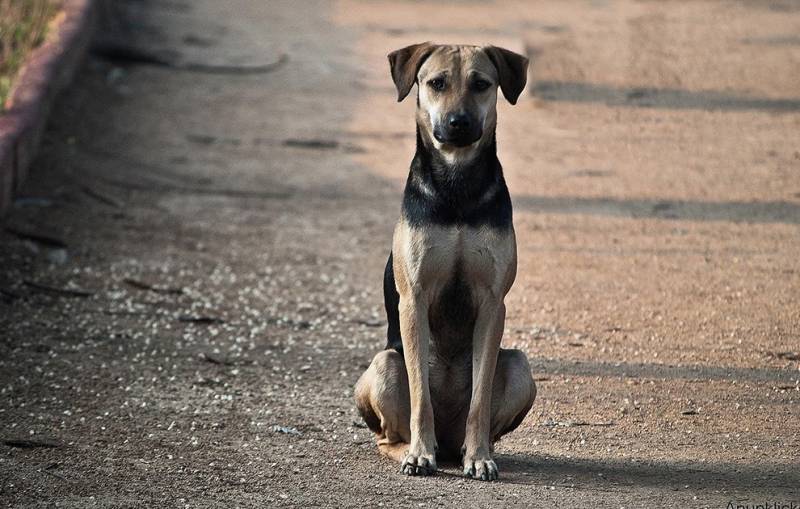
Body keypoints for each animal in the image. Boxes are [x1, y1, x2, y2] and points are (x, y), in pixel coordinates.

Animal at [356, 41, 536, 478]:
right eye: (436, 83)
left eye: (482, 84)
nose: (458, 123)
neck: (458, 185)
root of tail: (449, 445)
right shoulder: (414, 298)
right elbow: (420, 394)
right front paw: (420, 454)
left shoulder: (492, 302)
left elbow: (480, 398)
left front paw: (481, 457)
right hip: (384, 365)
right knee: (388, 435)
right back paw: (412, 450)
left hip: (521, 366)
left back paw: (473, 451)